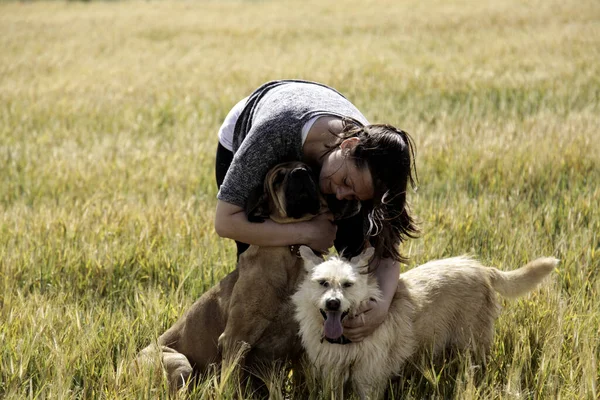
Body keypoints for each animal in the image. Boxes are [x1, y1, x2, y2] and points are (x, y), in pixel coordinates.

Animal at [138, 161, 326, 390]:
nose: (300, 172)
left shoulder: (303, 345)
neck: (292, 253)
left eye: (310, 170)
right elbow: (232, 384)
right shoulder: (235, 340)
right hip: (180, 364)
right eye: (278, 178)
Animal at [292, 247, 556, 400]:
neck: (345, 339)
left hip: (472, 345)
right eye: (323, 283)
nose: (333, 303)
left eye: (348, 284)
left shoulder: (369, 379)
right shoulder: (331, 374)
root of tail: (481, 268)